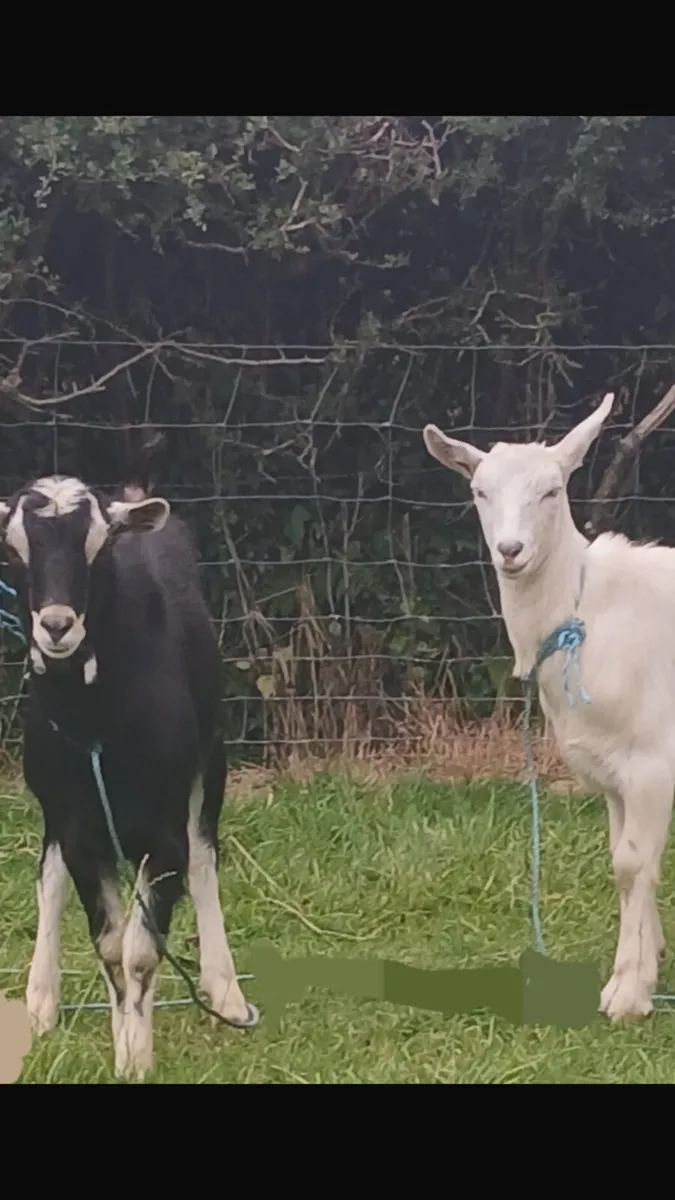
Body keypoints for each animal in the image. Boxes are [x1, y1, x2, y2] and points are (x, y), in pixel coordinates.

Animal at [0, 463, 255, 1078]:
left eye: (99, 545)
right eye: (14, 551)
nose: (57, 625)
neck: (98, 720)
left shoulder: (163, 833)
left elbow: (140, 951)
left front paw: (135, 1056)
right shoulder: (78, 825)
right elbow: (112, 947)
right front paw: (126, 1040)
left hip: (210, 760)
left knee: (205, 858)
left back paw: (226, 991)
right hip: (52, 796)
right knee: (48, 875)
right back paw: (41, 1001)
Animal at [423, 391, 675, 1022]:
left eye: (552, 490)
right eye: (479, 491)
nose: (510, 550)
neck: (583, 612)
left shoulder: (654, 760)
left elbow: (632, 864)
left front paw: (627, 992)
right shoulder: (613, 771)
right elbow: (628, 863)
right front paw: (647, 964)